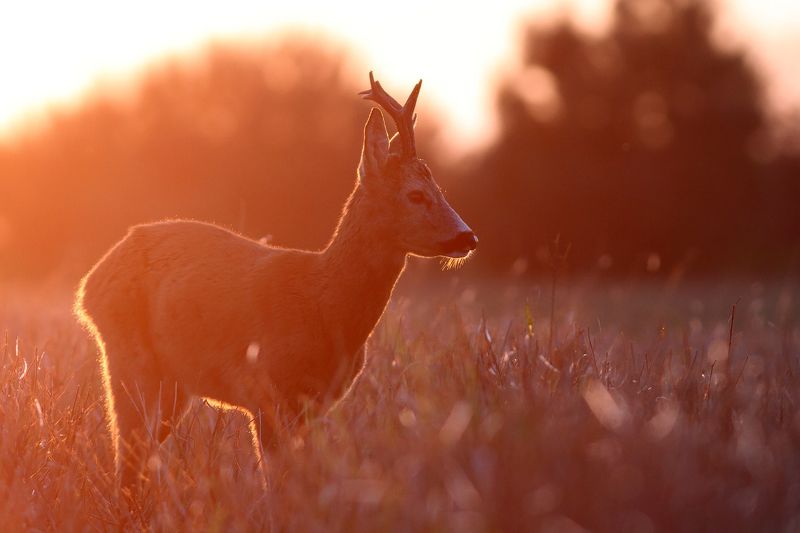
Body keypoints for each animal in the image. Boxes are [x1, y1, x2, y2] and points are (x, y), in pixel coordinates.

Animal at [74, 72, 478, 490]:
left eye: (440, 190)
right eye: (415, 195)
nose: (467, 237)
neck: (325, 303)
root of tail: (88, 286)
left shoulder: (316, 402)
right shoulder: (267, 390)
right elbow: (276, 480)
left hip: (174, 383)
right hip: (127, 358)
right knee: (127, 454)